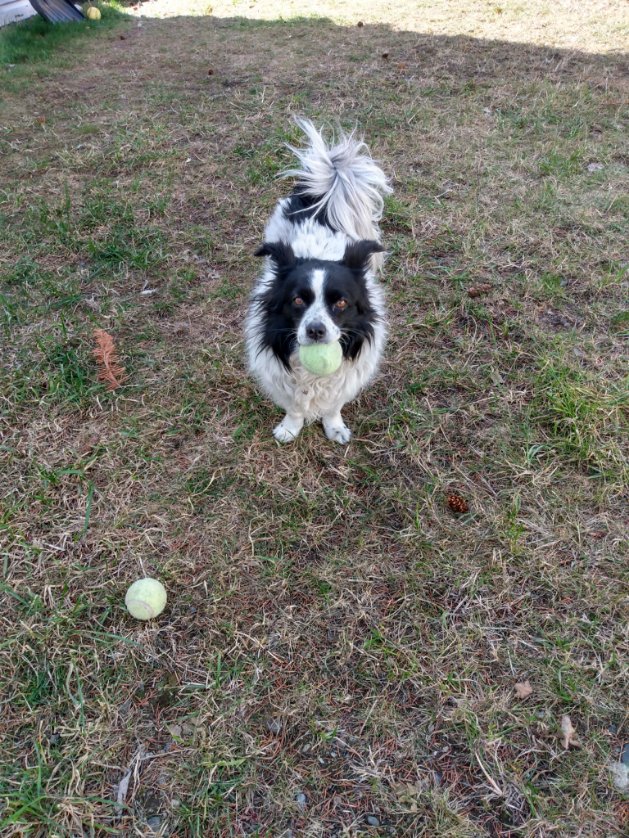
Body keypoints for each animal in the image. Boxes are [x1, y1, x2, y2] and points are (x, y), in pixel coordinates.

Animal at [244, 121, 388, 446]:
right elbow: (295, 406)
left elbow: (333, 405)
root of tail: (319, 198)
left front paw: (335, 428)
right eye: (297, 300)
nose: (315, 331)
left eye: (341, 303)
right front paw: (289, 428)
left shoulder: (346, 377)